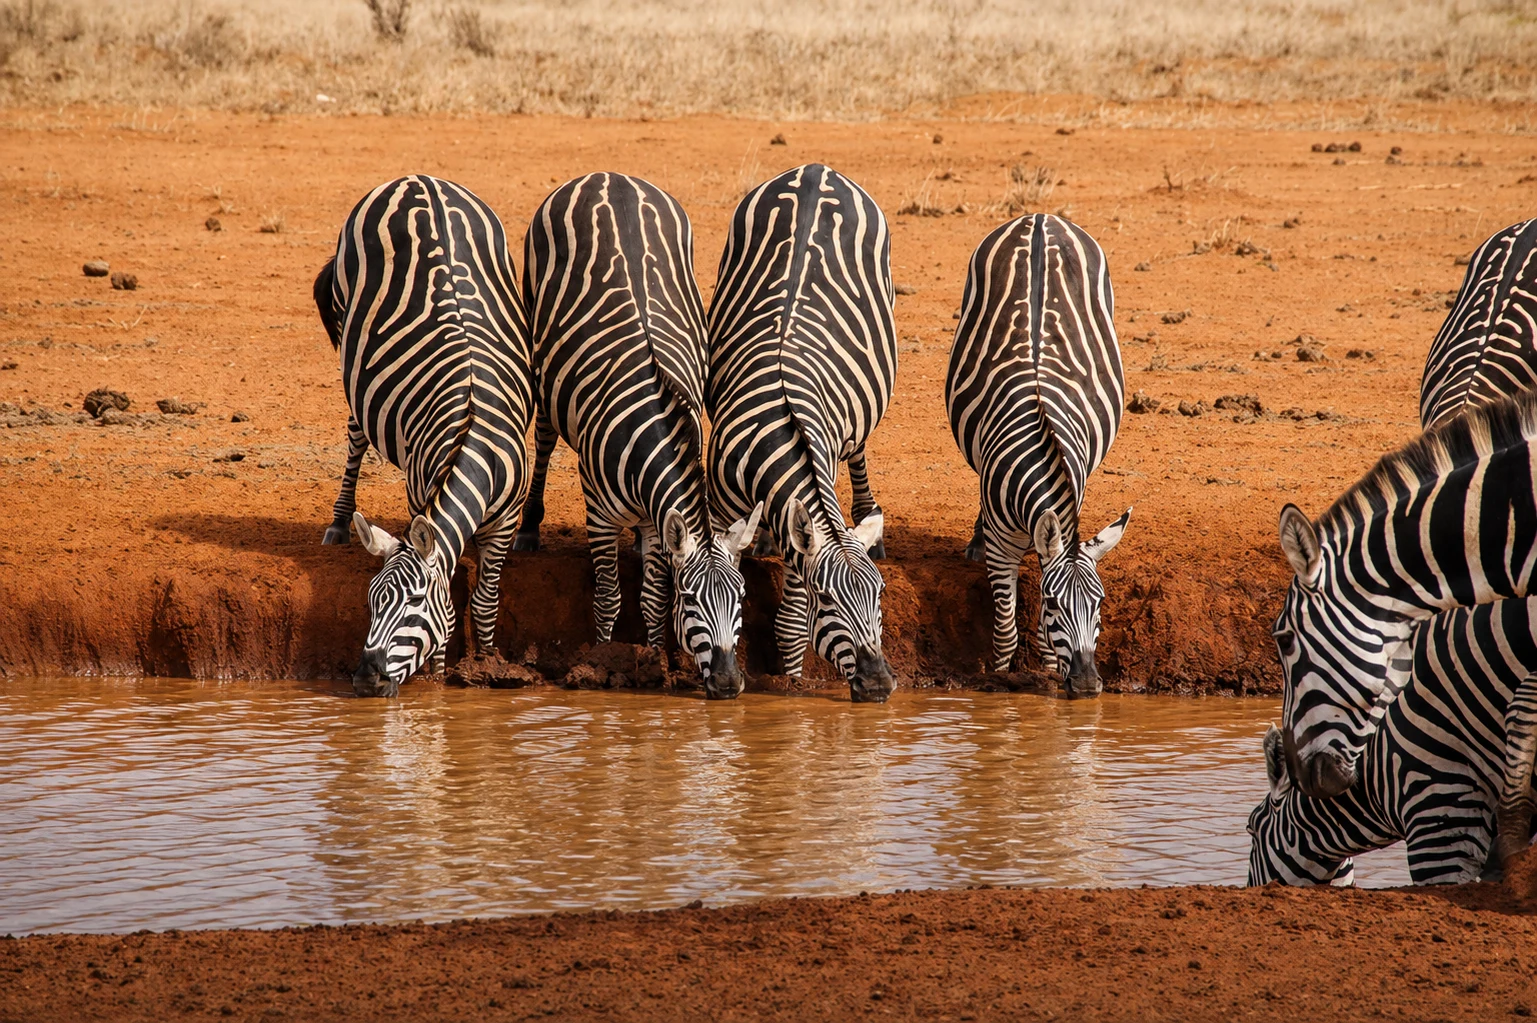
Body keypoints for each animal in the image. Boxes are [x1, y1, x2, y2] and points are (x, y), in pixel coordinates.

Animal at [313, 175, 533, 697]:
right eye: (371, 601)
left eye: (413, 604)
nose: (365, 680)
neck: (474, 440)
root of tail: (415, 178)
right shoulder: (420, 494)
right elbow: (451, 589)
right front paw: (438, 673)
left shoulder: (505, 521)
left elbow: (484, 599)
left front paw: (486, 663)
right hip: (351, 344)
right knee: (355, 433)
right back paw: (340, 520)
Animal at [512, 172, 763, 699]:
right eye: (691, 600)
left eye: (742, 597)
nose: (729, 684)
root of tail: (608, 176)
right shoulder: (597, 512)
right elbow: (609, 596)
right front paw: (603, 662)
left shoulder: (655, 516)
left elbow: (650, 597)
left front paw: (652, 662)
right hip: (539, 349)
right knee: (542, 436)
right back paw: (528, 528)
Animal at [705, 163, 897, 703]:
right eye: (827, 598)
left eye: (880, 594)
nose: (879, 686)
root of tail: (815, 169)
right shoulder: (723, 500)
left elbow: (790, 621)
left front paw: (789, 679)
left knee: (860, 451)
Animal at [944, 214, 1130, 694]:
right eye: (1051, 603)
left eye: (1101, 603)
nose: (1088, 686)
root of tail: (1041, 219)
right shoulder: (1001, 548)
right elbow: (1007, 624)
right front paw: (1001, 674)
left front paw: (1047, 671)